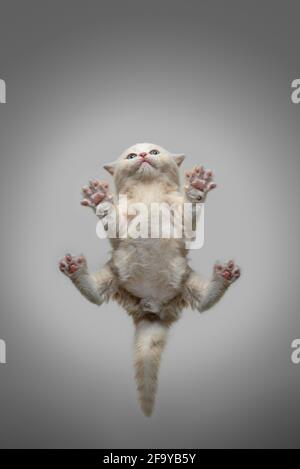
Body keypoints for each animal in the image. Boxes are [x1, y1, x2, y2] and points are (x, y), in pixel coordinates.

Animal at [59, 143, 241, 416]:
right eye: (132, 156)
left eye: (154, 152)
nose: (144, 156)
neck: (148, 192)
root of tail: (151, 309)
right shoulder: (120, 230)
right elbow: (112, 223)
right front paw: (100, 200)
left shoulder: (182, 222)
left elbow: (189, 212)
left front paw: (197, 187)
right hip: (113, 275)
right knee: (96, 296)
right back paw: (76, 269)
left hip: (186, 281)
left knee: (204, 302)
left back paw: (223, 276)